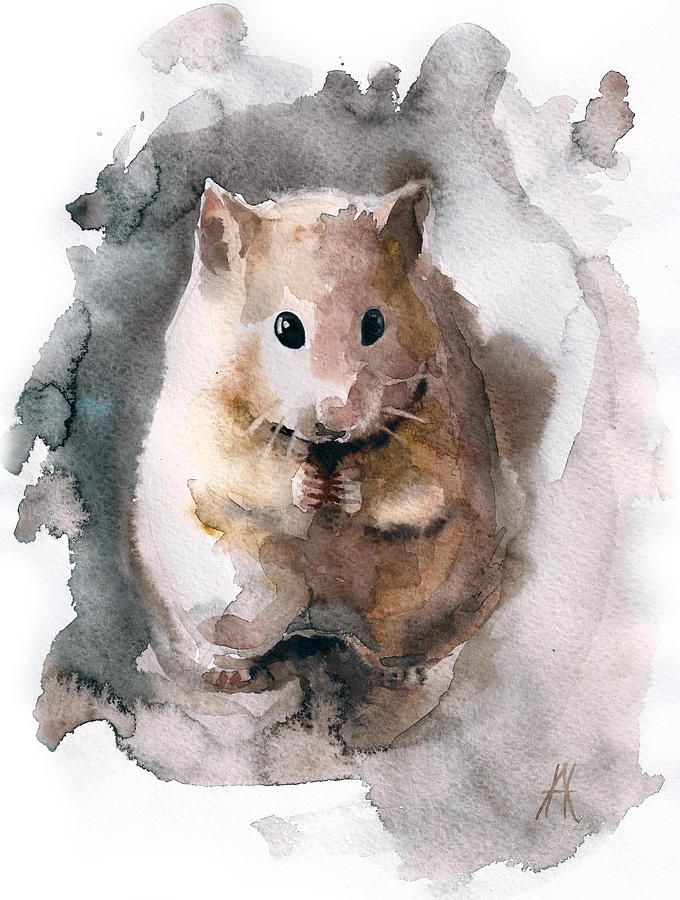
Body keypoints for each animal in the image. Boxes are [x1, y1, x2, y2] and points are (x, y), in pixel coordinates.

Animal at [132, 178, 507, 701]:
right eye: (286, 327)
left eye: (375, 323)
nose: (339, 417)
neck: (325, 450)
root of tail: (323, 620)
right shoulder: (205, 418)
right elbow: (247, 469)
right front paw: (308, 489)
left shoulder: (444, 421)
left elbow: (417, 481)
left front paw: (347, 487)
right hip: (218, 579)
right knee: (254, 618)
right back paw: (227, 671)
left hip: (429, 585)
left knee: (398, 634)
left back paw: (402, 672)